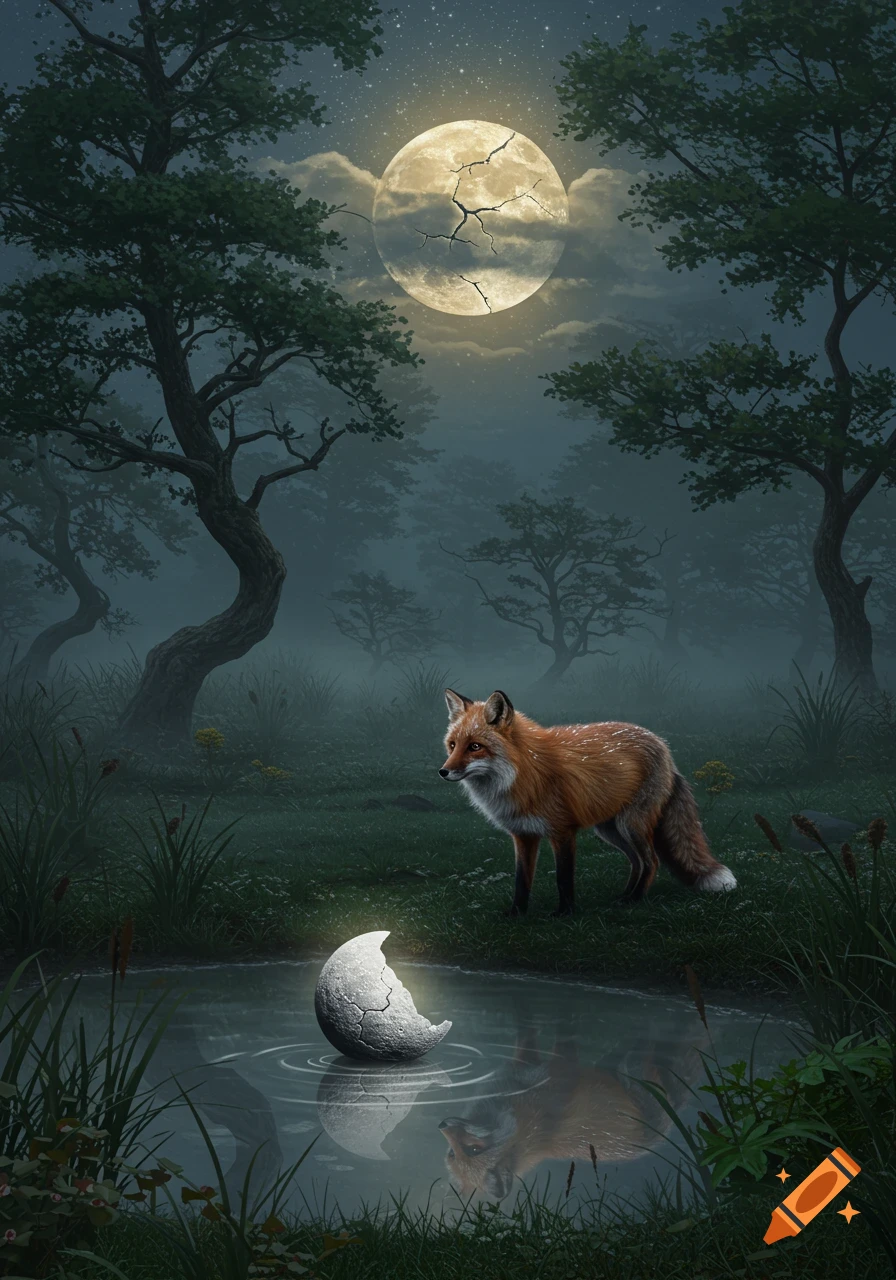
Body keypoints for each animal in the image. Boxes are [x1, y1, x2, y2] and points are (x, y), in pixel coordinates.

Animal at [440, 688, 736, 916]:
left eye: (475, 746)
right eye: (452, 745)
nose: (443, 772)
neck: (524, 772)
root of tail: (664, 747)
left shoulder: (562, 831)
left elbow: (563, 878)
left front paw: (564, 914)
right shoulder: (523, 835)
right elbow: (521, 881)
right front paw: (516, 914)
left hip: (632, 825)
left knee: (651, 861)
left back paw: (634, 900)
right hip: (609, 830)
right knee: (636, 862)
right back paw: (622, 896)